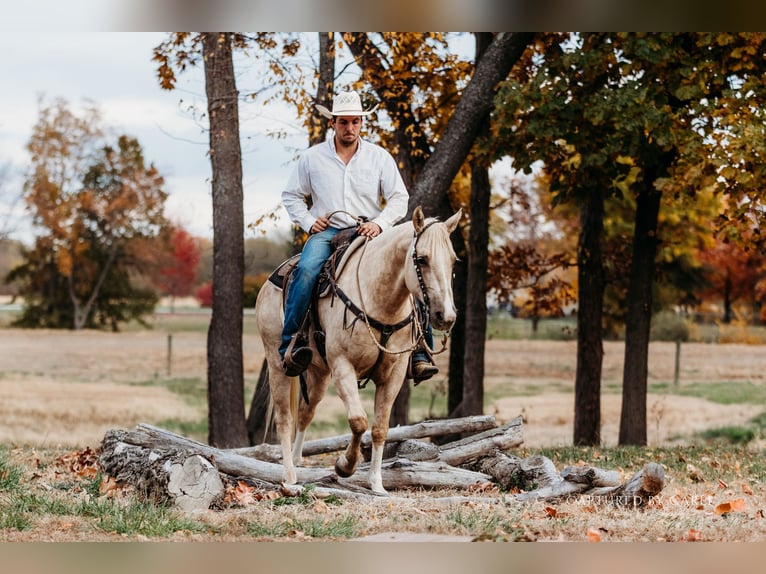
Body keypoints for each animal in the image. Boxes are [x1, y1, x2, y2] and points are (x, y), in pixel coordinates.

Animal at [255, 206, 462, 494]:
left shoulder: (395, 374)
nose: (446, 316)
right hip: (277, 365)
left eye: (453, 261)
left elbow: (380, 427)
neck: (381, 304)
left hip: (318, 373)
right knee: (284, 419)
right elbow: (358, 421)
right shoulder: (343, 367)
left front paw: (376, 484)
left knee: (306, 413)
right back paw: (290, 476)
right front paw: (345, 465)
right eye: (421, 259)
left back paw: (297, 461)